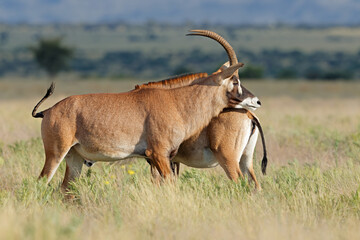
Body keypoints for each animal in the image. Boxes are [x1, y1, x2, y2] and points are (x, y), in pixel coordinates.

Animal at [31, 31, 256, 191]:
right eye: (235, 80)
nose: (256, 101)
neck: (177, 101)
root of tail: (49, 111)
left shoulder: (164, 158)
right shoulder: (158, 154)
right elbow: (170, 187)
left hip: (74, 157)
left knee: (65, 189)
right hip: (56, 153)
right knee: (42, 181)